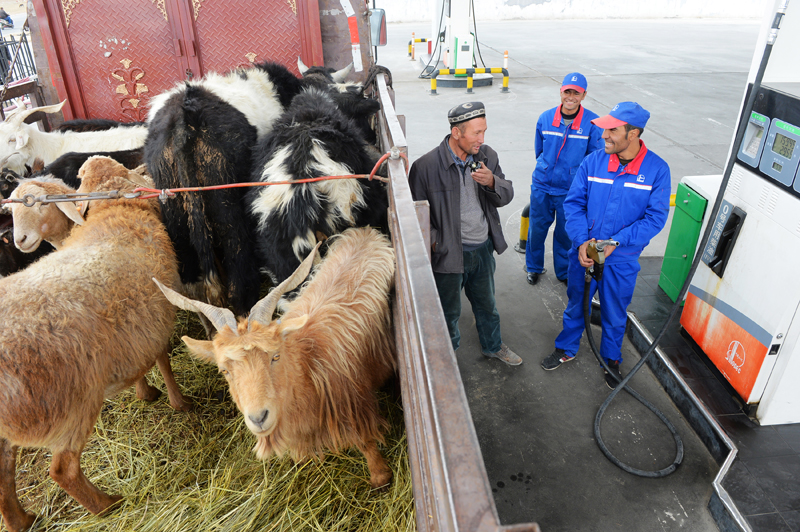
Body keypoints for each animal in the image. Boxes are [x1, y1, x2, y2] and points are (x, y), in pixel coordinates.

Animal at [0, 155, 190, 532]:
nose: (21, 238)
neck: (114, 212)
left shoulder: (136, 325)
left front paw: (145, 392)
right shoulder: (158, 312)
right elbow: (163, 359)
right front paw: (178, 402)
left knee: (3, 477)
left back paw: (21, 520)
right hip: (74, 399)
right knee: (63, 469)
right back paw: (108, 505)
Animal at [154, 227, 396, 488]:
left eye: (275, 356)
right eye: (224, 370)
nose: (259, 418)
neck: (309, 362)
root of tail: (366, 231)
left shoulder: (356, 406)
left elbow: (366, 443)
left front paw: (381, 477)